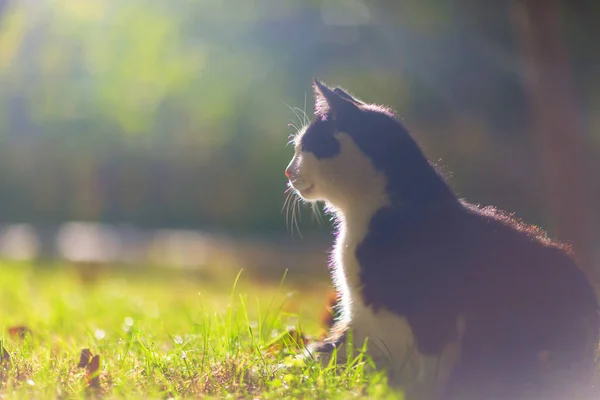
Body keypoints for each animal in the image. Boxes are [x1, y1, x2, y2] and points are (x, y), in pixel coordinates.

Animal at [286, 79, 600, 400]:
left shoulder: (434, 312)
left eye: (305, 147)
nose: (288, 172)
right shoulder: (360, 316)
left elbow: (430, 369)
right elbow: (320, 353)